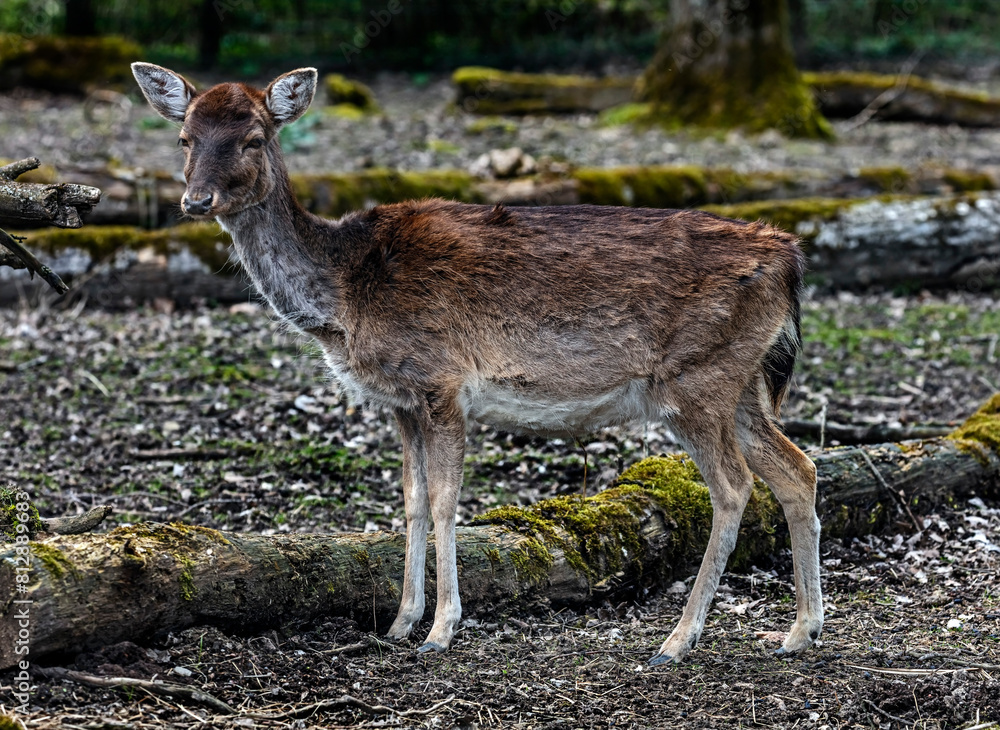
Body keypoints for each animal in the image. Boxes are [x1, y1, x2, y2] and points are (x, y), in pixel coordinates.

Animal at [131, 63, 823, 665]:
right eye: (184, 136)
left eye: (253, 137)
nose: (196, 200)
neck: (346, 295)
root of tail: (791, 259)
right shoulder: (400, 401)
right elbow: (410, 500)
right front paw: (400, 621)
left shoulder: (442, 379)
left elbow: (445, 501)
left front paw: (441, 628)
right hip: (742, 382)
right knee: (799, 469)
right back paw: (800, 632)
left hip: (696, 378)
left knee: (734, 487)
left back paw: (677, 641)